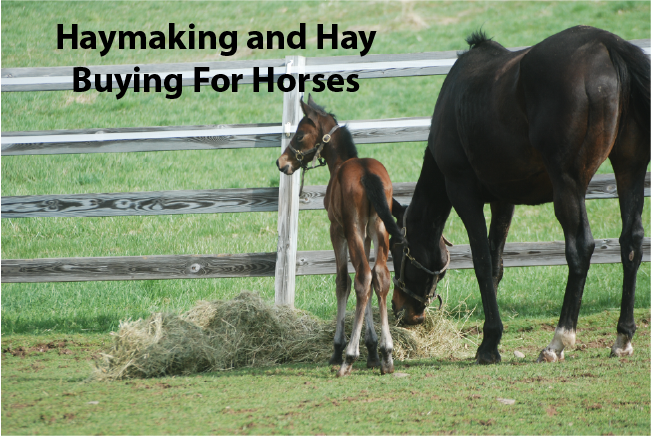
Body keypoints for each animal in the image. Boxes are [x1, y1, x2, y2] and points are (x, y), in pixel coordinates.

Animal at [276, 95, 405, 376]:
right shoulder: (366, 234)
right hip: (379, 228)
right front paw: (373, 349)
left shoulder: (336, 230)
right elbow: (370, 285)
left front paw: (338, 349)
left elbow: (342, 282)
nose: (281, 163)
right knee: (378, 276)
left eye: (300, 135)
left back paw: (348, 357)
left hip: (351, 228)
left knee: (362, 277)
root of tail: (367, 173)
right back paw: (387, 355)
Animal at [390, 26, 651, 364]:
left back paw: (558, 341)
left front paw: (488, 344)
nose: (401, 309)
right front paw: (491, 339)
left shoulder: (463, 194)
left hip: (568, 184)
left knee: (581, 248)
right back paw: (623, 336)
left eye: (396, 250)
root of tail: (607, 43)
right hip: (630, 168)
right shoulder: (504, 200)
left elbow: (481, 262)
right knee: (631, 242)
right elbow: (497, 264)